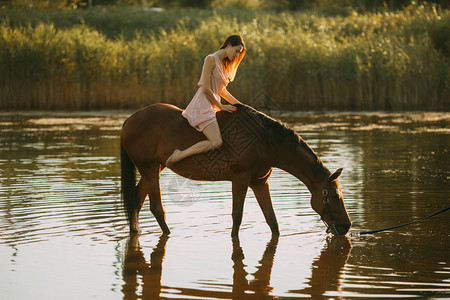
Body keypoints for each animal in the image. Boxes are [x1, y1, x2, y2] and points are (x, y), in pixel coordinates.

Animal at [121, 103, 354, 237]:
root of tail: (129, 120)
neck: (265, 141)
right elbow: (237, 216)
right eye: (334, 196)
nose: (346, 226)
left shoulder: (260, 182)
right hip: (150, 170)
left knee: (136, 200)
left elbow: (272, 220)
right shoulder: (241, 179)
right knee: (156, 208)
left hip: (153, 170)